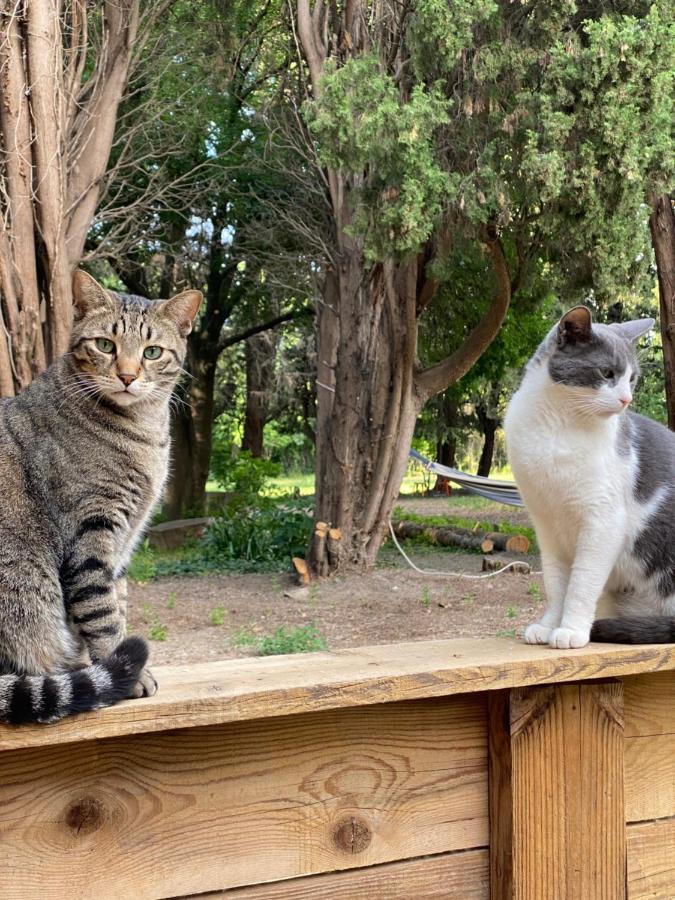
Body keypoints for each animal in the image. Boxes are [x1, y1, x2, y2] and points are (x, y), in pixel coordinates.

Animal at [0, 270, 202, 720]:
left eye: (152, 352)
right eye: (105, 345)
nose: (127, 376)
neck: (143, 429)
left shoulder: (125, 539)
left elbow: (118, 601)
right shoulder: (90, 528)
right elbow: (102, 610)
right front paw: (124, 672)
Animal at [504, 308, 672, 648]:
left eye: (631, 379)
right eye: (607, 373)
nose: (626, 399)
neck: (559, 427)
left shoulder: (603, 521)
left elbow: (582, 582)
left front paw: (570, 630)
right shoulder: (546, 525)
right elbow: (556, 583)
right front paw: (547, 626)